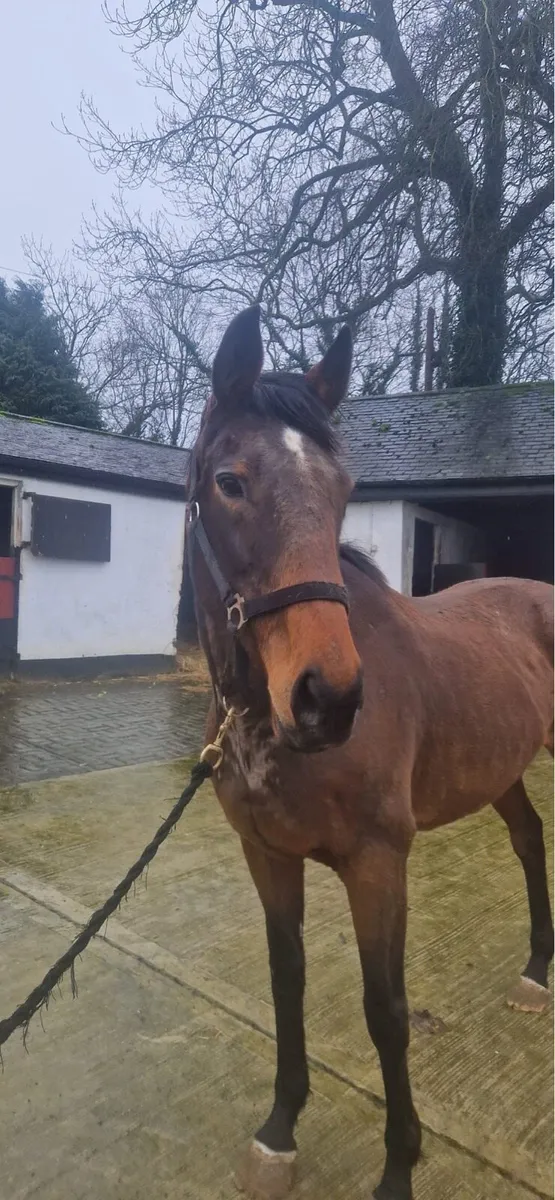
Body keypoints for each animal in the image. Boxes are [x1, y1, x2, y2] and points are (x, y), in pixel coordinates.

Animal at [184, 305, 554, 1200]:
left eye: (343, 490)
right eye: (229, 482)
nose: (329, 698)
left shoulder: (378, 860)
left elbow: (384, 1010)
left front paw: (397, 1165)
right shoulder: (266, 855)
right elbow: (286, 980)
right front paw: (279, 1131)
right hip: (501, 769)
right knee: (529, 840)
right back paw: (535, 973)